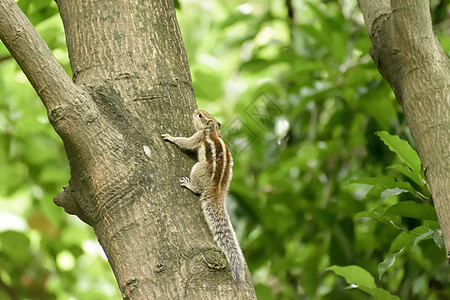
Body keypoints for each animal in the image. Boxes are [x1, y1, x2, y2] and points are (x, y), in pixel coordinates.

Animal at [162, 109, 246, 284]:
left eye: (201, 115)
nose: (195, 111)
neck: (213, 130)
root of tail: (218, 189)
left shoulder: (198, 136)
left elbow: (186, 142)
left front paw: (170, 138)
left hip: (198, 168)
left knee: (197, 188)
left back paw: (190, 185)